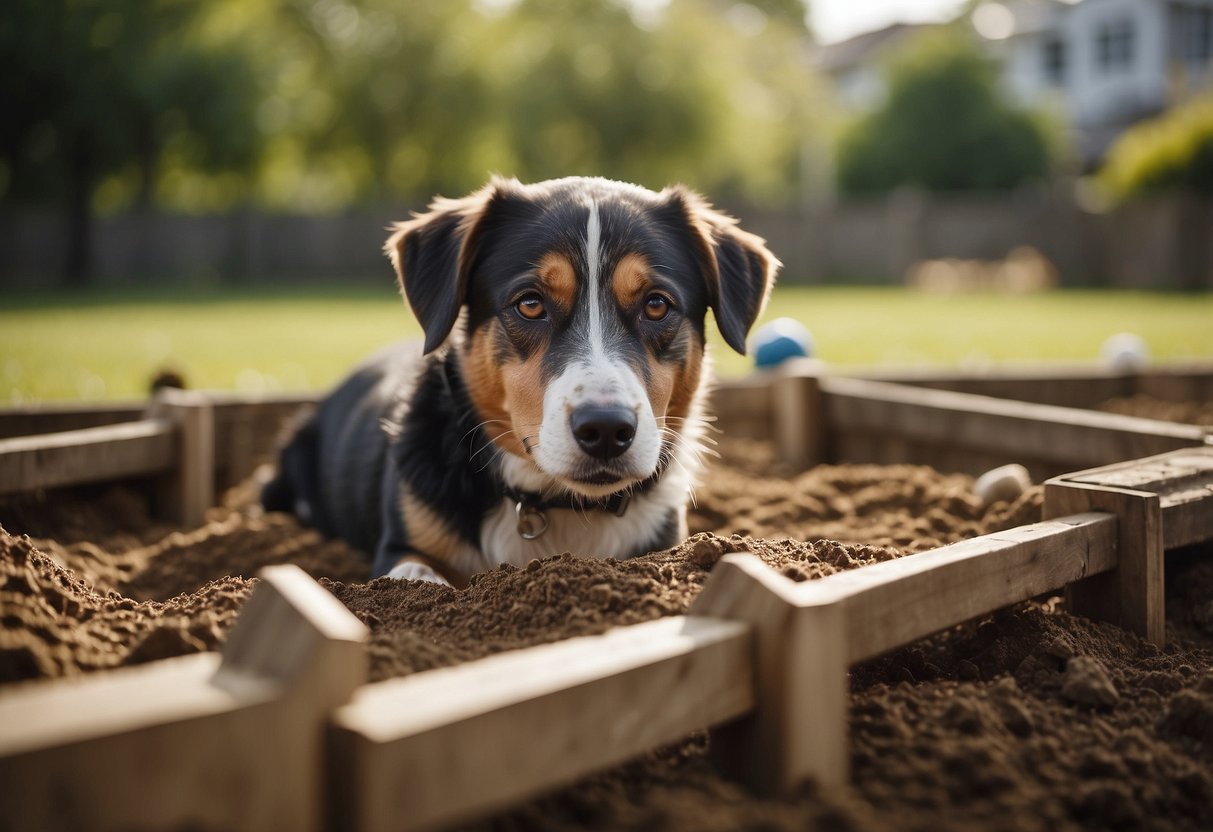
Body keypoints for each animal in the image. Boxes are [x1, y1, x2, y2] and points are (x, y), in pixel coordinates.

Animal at [262, 175, 781, 587]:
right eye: (530, 304)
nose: (606, 430)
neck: (555, 507)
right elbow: (416, 578)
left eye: (656, 305)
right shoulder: (401, 546)